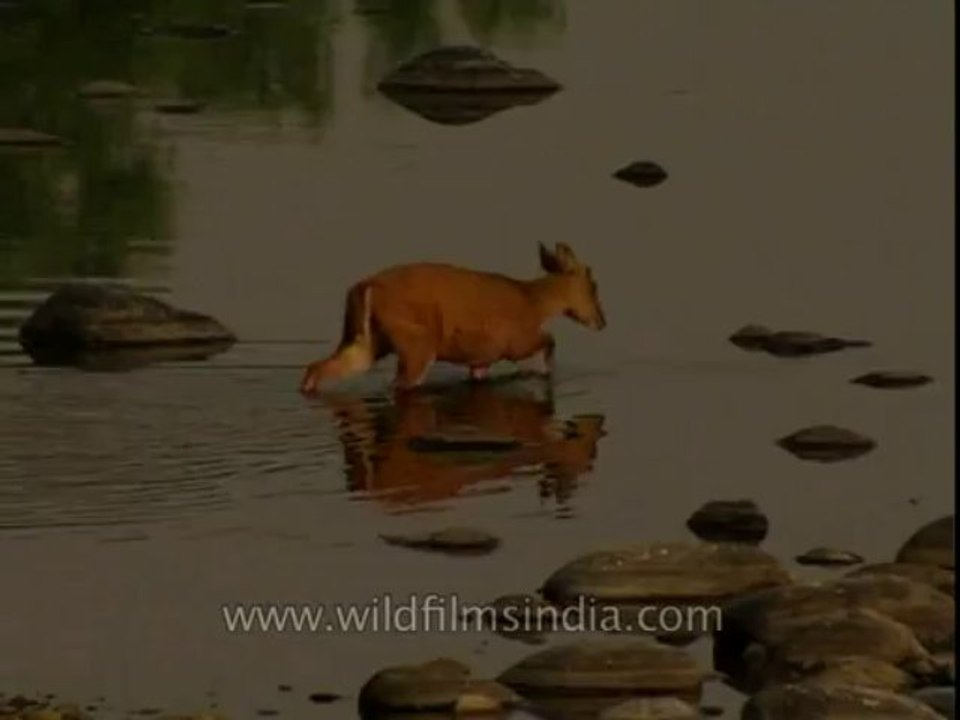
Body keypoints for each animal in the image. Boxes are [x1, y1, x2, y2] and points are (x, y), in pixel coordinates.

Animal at [299, 242, 606, 394]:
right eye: (593, 284)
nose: (602, 321)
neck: (533, 301)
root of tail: (365, 287)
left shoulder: (481, 358)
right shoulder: (515, 342)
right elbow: (550, 339)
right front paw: (546, 371)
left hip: (366, 341)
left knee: (318, 367)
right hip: (417, 343)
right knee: (401, 384)